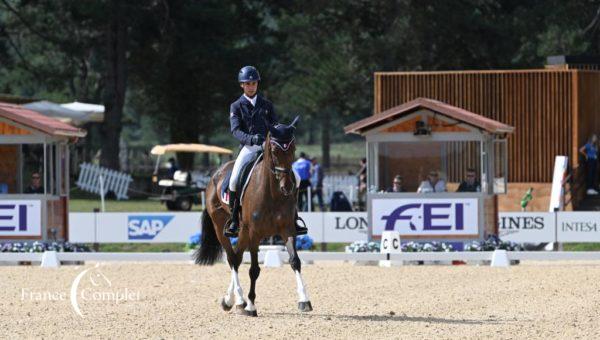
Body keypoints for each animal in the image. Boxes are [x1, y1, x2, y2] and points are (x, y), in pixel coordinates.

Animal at [193, 118, 314, 318]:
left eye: (293, 148)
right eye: (274, 150)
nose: (288, 187)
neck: (273, 193)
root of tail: (214, 176)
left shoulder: (287, 229)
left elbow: (295, 261)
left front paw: (304, 300)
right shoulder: (255, 234)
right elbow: (254, 270)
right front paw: (251, 306)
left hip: (243, 231)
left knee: (237, 256)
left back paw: (230, 301)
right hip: (221, 227)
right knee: (232, 258)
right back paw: (240, 300)